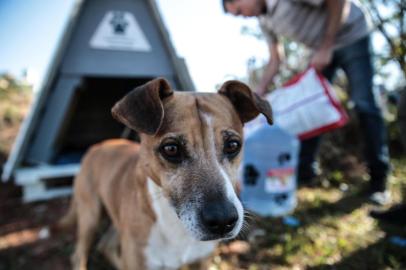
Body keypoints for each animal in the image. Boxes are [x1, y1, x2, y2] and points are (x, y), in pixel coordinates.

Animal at [58, 78, 272, 270]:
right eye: (171, 149)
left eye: (233, 145)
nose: (222, 221)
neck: (175, 227)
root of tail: (98, 146)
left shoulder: (201, 261)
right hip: (90, 215)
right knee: (79, 255)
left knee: (106, 246)